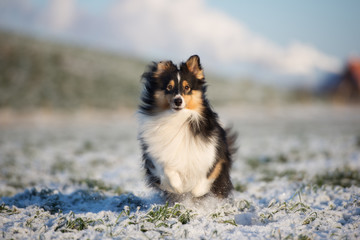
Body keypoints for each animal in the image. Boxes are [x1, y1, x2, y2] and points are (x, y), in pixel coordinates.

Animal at [138, 55, 236, 202]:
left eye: (187, 87)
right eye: (169, 87)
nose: (178, 101)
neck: (178, 118)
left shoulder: (213, 154)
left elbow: (206, 176)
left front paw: (196, 191)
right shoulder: (156, 158)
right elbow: (168, 170)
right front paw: (179, 188)